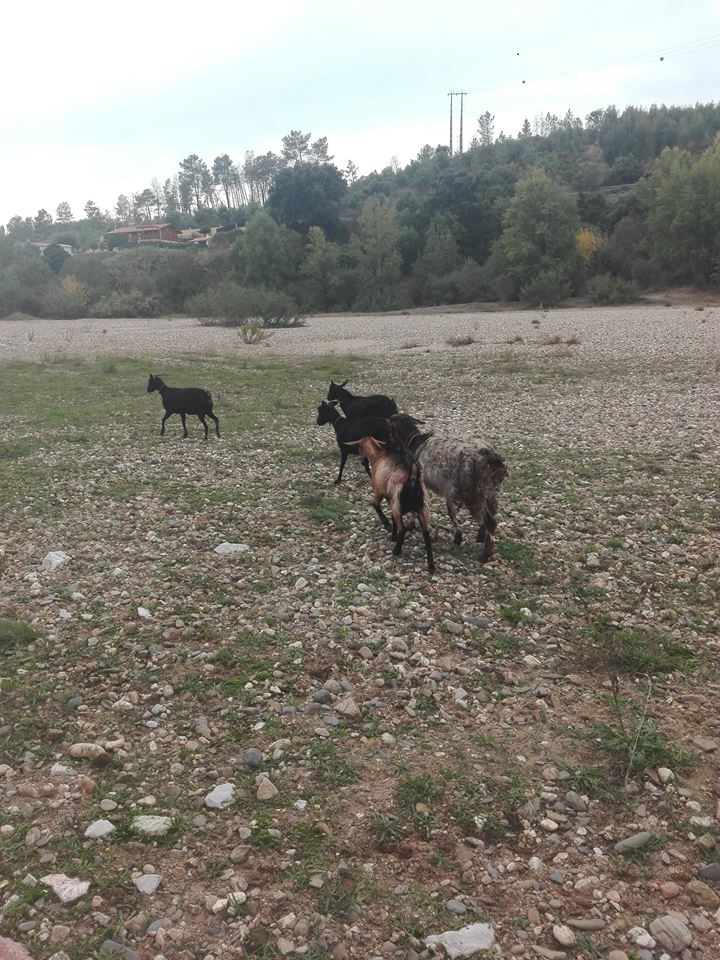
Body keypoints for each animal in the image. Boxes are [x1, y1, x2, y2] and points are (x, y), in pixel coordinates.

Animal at [351, 436, 434, 574]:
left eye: (359, 448)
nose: (363, 462)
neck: (378, 455)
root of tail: (412, 479)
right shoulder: (391, 501)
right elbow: (391, 516)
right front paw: (393, 535)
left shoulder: (379, 491)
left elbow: (375, 505)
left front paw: (388, 526)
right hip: (423, 508)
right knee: (426, 533)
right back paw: (431, 565)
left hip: (399, 506)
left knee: (403, 529)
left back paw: (396, 550)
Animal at [389, 419, 507, 562]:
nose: (388, 440)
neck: (415, 441)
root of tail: (492, 459)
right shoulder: (448, 491)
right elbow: (451, 511)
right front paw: (458, 537)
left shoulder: (439, 487)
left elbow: (447, 512)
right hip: (491, 491)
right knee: (491, 513)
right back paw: (481, 536)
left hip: (472, 494)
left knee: (491, 522)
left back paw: (485, 555)